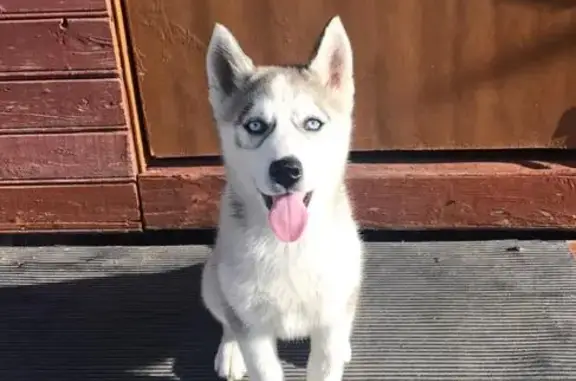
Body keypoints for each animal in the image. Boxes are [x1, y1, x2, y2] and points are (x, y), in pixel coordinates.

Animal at [202, 15, 362, 380]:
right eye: (255, 125)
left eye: (313, 123)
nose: (286, 170)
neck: (289, 247)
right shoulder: (254, 329)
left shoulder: (329, 319)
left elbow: (327, 361)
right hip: (212, 279)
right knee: (226, 319)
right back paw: (230, 350)